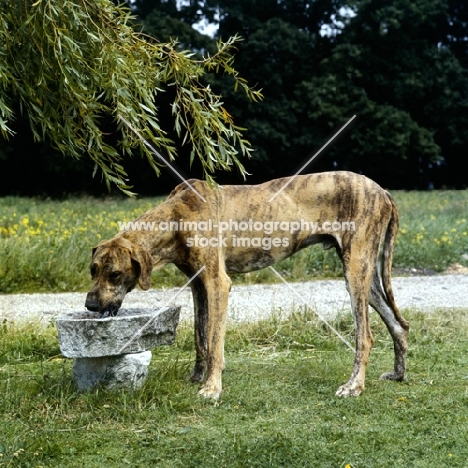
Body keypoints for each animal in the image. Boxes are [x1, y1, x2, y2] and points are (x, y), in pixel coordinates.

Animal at [86, 171, 408, 398]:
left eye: (115, 274)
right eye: (93, 270)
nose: (89, 304)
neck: (178, 216)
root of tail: (382, 190)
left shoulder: (217, 283)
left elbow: (214, 341)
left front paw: (212, 388)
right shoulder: (198, 285)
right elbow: (200, 337)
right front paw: (197, 377)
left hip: (355, 272)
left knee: (365, 337)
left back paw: (354, 386)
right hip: (366, 278)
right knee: (398, 325)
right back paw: (398, 374)